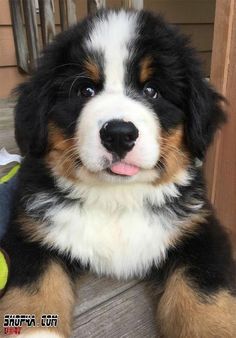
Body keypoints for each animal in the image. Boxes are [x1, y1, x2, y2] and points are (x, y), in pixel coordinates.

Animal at [0, 9, 236, 336]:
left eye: (152, 90)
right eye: (85, 90)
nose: (119, 134)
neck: (117, 198)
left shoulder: (199, 231)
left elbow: (203, 297)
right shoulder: (29, 234)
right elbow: (31, 293)